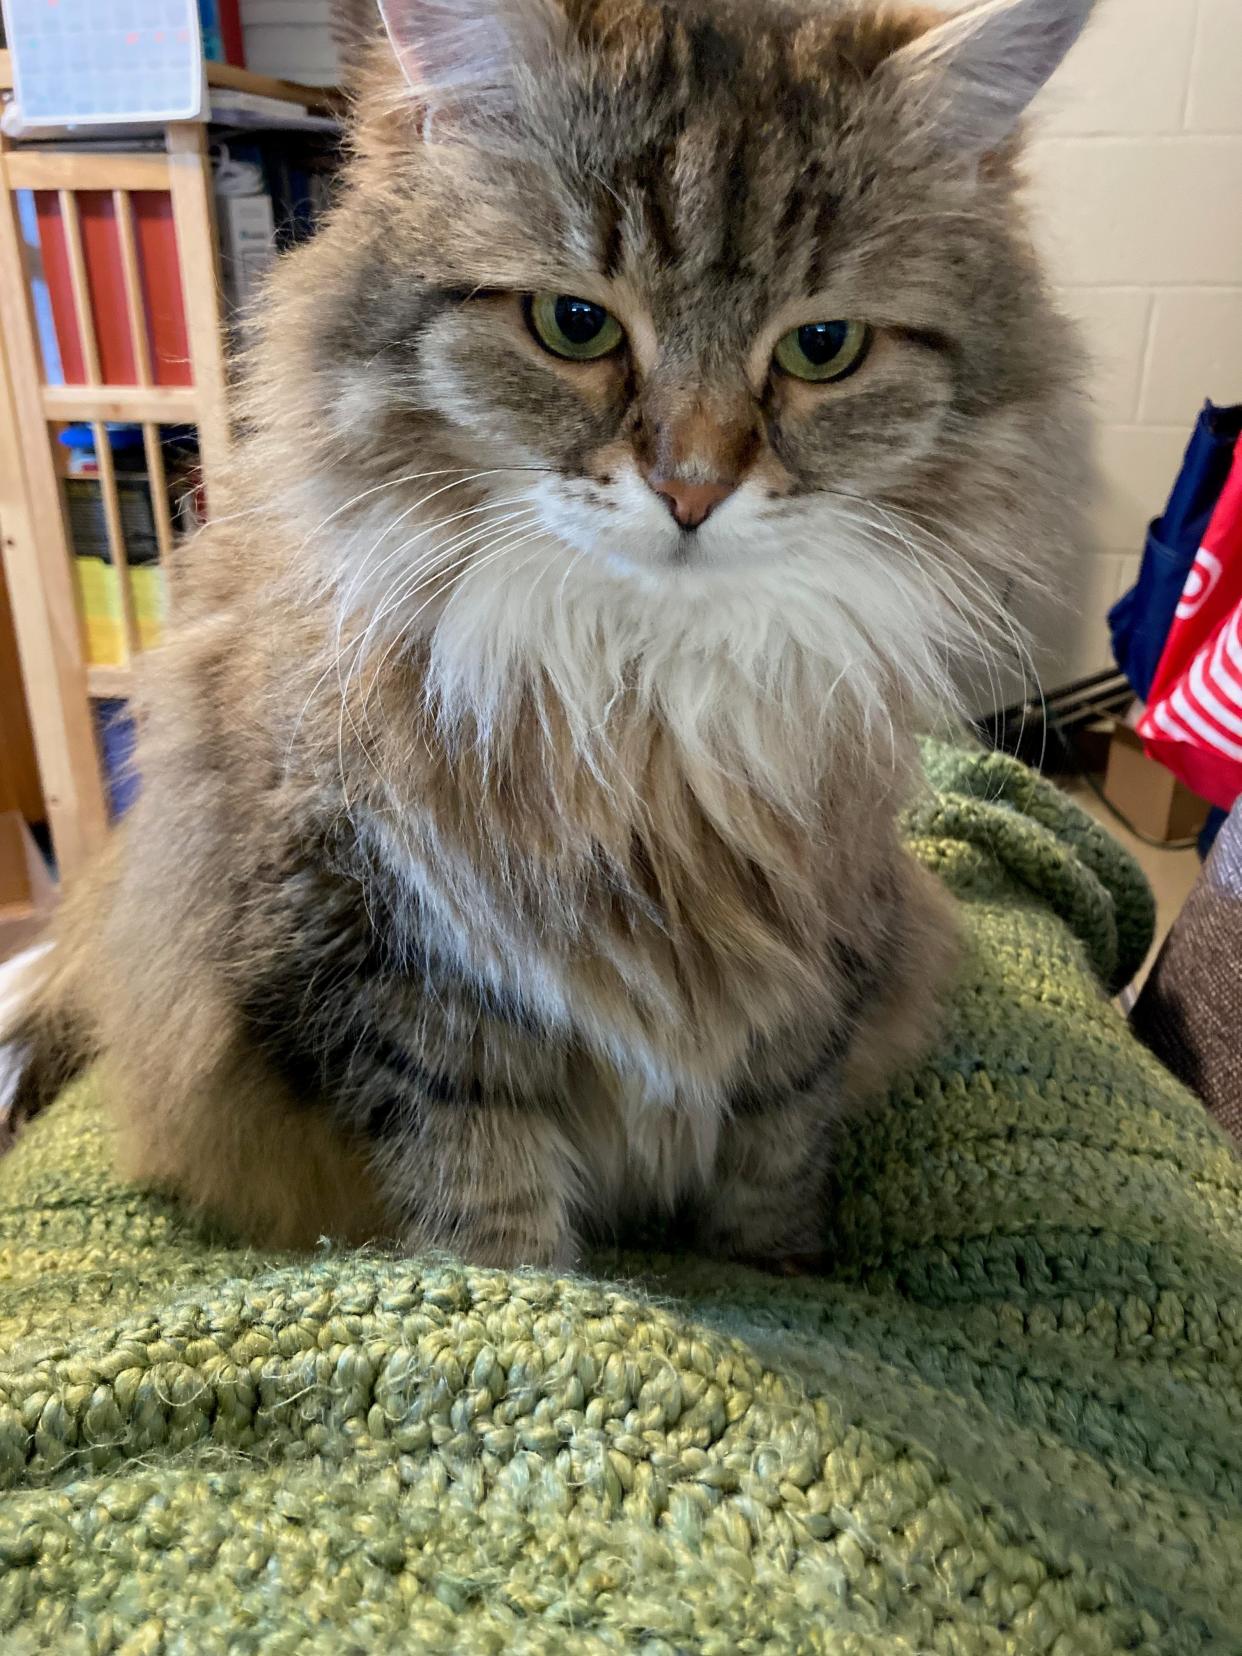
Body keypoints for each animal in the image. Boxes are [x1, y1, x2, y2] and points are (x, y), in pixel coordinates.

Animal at [7, 0, 1099, 1265]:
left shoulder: (819, 966)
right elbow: (490, 1210)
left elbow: (773, 1170)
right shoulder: (397, 973)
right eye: (574, 325)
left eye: (821, 347)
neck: (644, 708)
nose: (691, 489)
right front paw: (528, 1285)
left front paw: (784, 1274)